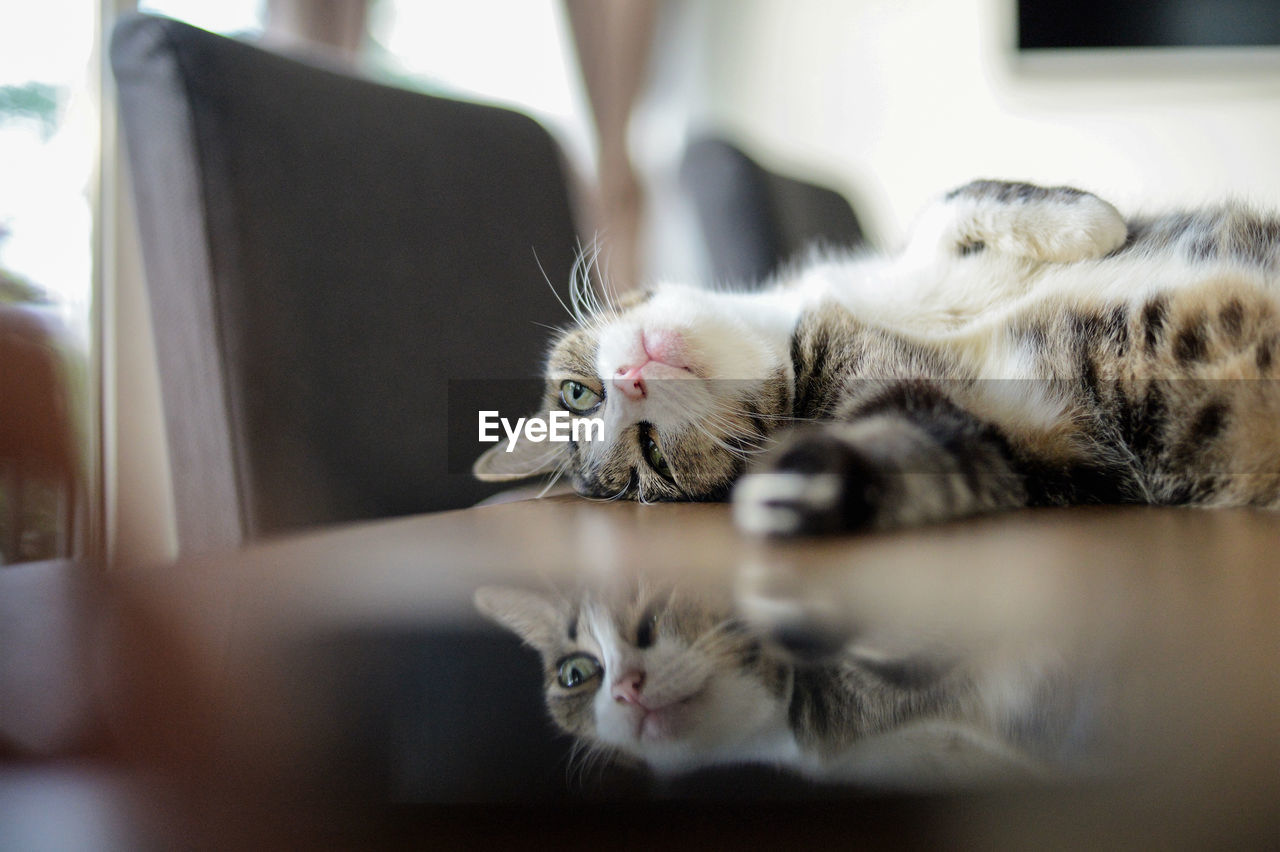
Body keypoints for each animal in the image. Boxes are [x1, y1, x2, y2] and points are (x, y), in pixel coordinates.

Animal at [476, 177, 1280, 532]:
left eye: (578, 394)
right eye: (652, 463)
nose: (628, 378)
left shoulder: (912, 257)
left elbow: (953, 205)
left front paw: (1091, 223)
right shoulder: (1016, 435)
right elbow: (927, 448)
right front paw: (798, 489)